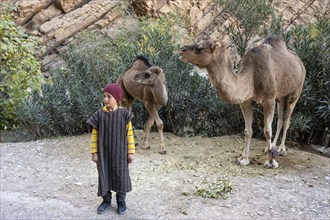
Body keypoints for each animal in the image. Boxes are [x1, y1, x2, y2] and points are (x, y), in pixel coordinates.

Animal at [179, 35, 306, 168]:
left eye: (199, 48)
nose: (181, 50)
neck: (252, 76)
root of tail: (300, 62)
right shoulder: (245, 101)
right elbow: (247, 131)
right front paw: (243, 159)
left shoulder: (269, 99)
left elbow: (267, 131)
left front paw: (271, 162)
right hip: (281, 96)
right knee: (280, 119)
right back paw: (270, 148)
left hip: (296, 91)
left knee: (287, 120)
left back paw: (281, 149)